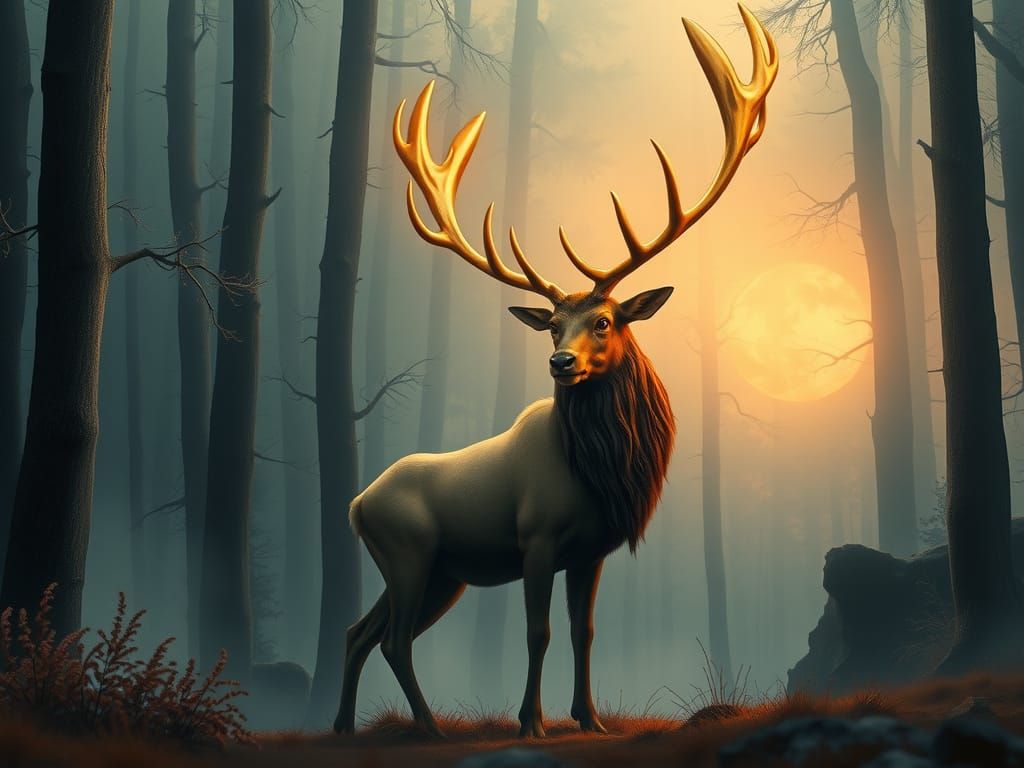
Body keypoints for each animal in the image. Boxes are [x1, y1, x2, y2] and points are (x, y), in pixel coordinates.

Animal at [334, 4, 777, 739]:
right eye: (551, 325)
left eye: (604, 320)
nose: (559, 362)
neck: (603, 473)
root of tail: (355, 504)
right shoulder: (536, 538)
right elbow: (537, 631)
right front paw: (531, 722)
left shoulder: (589, 551)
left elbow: (583, 631)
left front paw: (590, 719)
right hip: (409, 554)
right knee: (392, 639)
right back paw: (427, 725)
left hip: (441, 573)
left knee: (359, 632)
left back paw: (344, 726)